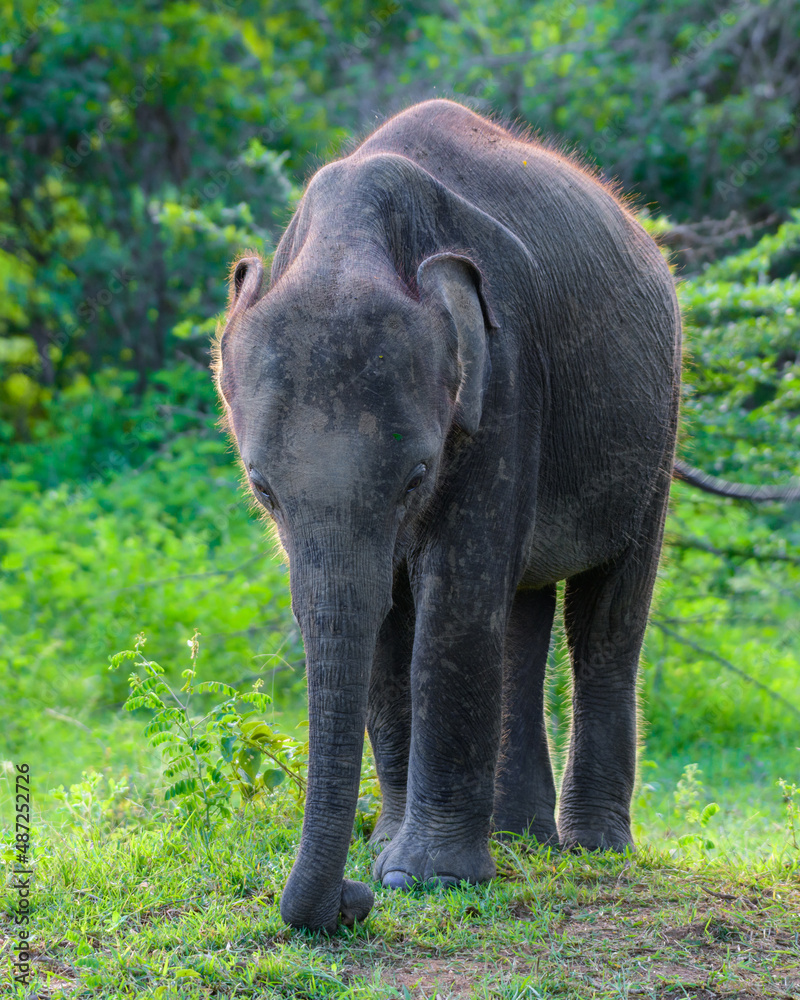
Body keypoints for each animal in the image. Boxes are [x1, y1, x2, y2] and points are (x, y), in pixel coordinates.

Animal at [214, 97, 680, 932]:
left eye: (416, 478)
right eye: (263, 489)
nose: (350, 900)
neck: (352, 241)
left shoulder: (508, 376)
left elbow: (452, 603)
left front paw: (420, 878)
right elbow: (387, 620)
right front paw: (387, 854)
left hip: (657, 426)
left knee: (605, 618)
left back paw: (592, 850)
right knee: (523, 613)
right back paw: (520, 836)